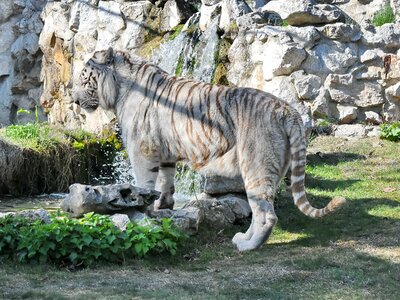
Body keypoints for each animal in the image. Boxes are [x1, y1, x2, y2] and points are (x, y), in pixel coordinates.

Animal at [72, 47, 346, 251]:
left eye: (84, 78)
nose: (74, 100)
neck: (120, 87)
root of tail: (287, 110)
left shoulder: (142, 150)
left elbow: (144, 181)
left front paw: (142, 208)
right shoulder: (166, 152)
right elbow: (165, 182)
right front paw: (162, 206)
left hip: (255, 166)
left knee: (266, 215)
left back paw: (248, 246)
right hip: (275, 168)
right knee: (260, 209)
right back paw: (242, 239)